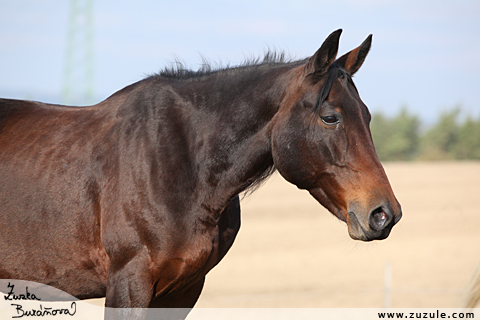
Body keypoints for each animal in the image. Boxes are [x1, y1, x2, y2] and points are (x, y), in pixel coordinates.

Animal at [0, 29, 402, 318]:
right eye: (330, 117)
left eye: (367, 116)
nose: (385, 214)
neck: (181, 165)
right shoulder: (128, 285)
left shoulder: (182, 290)